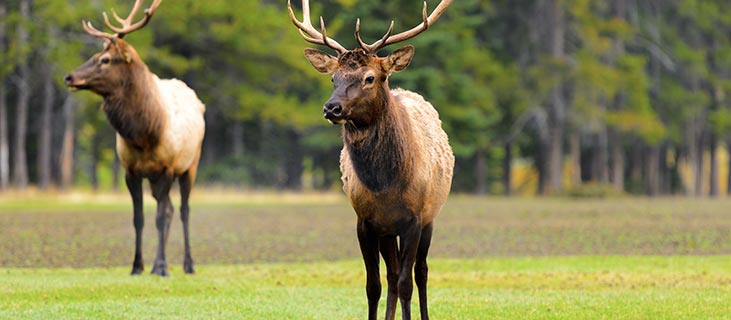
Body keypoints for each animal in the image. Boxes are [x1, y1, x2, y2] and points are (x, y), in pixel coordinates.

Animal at [63, 0, 206, 276]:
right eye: (94, 55)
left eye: (105, 59)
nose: (69, 77)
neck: (144, 134)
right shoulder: (131, 171)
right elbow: (138, 218)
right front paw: (138, 266)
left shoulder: (167, 168)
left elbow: (159, 217)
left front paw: (161, 267)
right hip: (155, 179)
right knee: (170, 208)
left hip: (190, 166)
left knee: (184, 210)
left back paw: (188, 264)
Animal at [288, 1, 454, 318]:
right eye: (333, 78)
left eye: (369, 77)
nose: (331, 108)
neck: (385, 186)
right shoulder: (365, 221)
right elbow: (373, 285)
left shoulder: (415, 219)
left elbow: (407, 283)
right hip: (387, 232)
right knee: (392, 274)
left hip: (432, 215)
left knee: (421, 272)